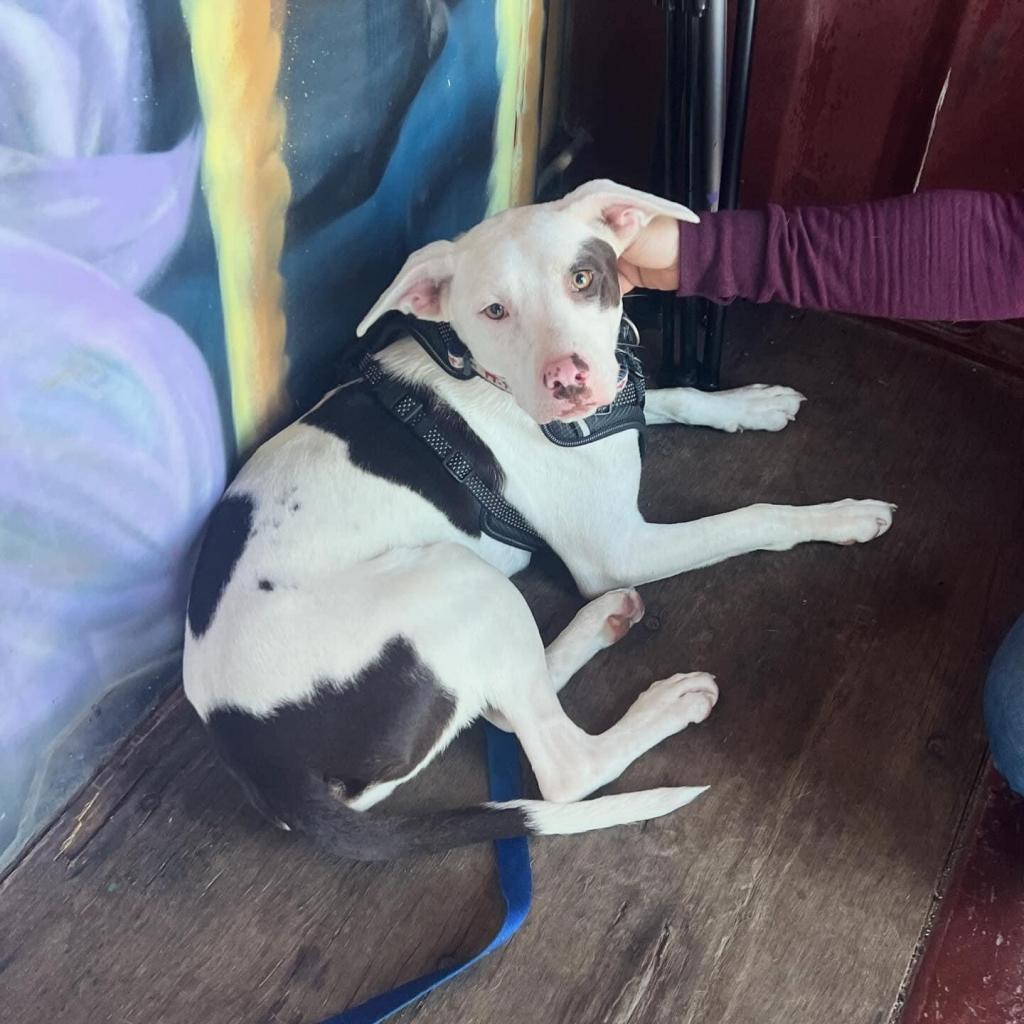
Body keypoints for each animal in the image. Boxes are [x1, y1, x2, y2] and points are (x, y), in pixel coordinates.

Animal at [184, 182, 897, 856]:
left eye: (581, 279)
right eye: (493, 310)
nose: (567, 380)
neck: (491, 381)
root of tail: (266, 769)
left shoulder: (617, 403)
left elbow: (671, 395)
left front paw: (748, 404)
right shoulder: (619, 550)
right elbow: (754, 518)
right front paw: (842, 515)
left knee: (503, 709)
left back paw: (601, 623)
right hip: (457, 578)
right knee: (563, 767)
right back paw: (665, 703)